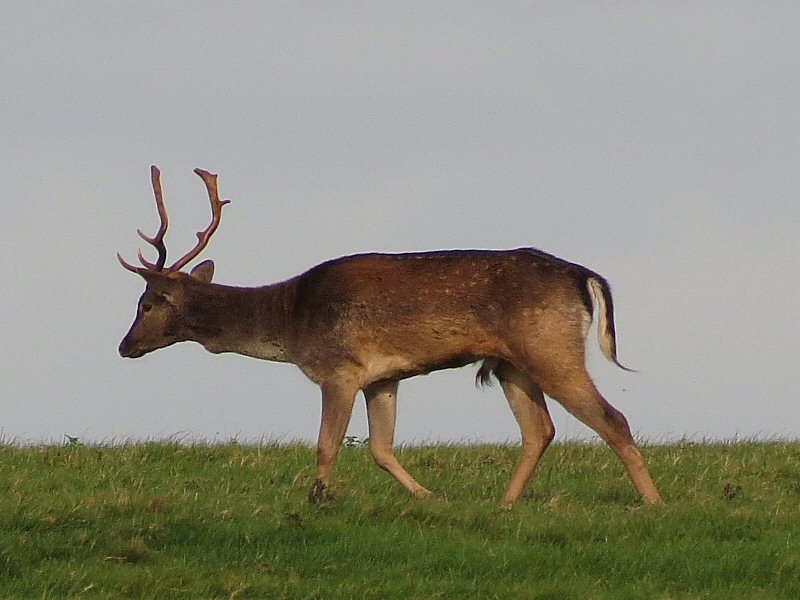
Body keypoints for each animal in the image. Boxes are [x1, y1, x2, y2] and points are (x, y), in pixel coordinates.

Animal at [115, 166, 660, 504]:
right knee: (539, 430)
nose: (124, 346)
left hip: (548, 344)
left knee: (612, 418)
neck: (290, 321)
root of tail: (583, 275)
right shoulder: (383, 377)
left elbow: (327, 444)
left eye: (146, 303)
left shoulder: (340, 368)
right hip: (511, 363)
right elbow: (380, 448)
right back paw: (504, 506)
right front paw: (431, 498)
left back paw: (652, 502)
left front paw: (316, 501)